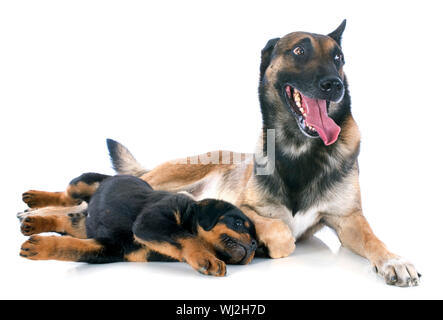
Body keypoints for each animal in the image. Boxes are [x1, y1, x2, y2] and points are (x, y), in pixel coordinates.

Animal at [20, 172, 256, 276]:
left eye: (256, 240)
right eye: (238, 223)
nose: (254, 244)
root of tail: (111, 176)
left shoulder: (111, 248)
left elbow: (72, 248)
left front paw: (41, 247)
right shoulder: (150, 221)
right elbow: (187, 237)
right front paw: (206, 257)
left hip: (83, 226)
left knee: (66, 222)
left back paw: (32, 223)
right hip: (82, 182)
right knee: (65, 197)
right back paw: (34, 199)